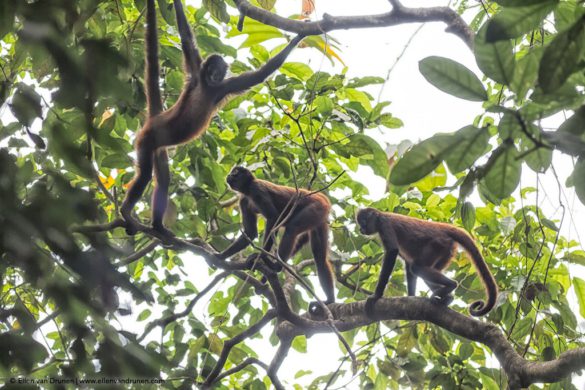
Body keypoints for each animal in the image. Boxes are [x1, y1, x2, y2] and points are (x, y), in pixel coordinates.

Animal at [218, 166, 338, 306]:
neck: (247, 189)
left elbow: (273, 218)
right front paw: (219, 256)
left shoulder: (257, 189)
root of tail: (322, 197)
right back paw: (330, 300)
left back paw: (276, 266)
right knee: (320, 258)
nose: (229, 175)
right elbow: (250, 232)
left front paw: (261, 256)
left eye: (235, 172)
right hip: (319, 218)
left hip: (316, 207)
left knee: (292, 229)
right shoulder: (243, 200)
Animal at [356, 207, 498, 316]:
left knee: (417, 267)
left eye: (363, 222)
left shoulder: (384, 223)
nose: (360, 229)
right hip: (446, 252)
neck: (381, 215)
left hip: (438, 245)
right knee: (422, 269)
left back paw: (451, 285)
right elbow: (407, 263)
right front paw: (410, 297)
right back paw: (448, 297)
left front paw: (376, 296)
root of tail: (442, 228)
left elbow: (392, 251)